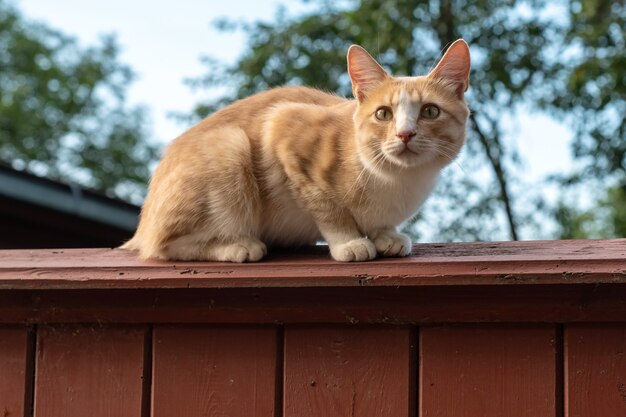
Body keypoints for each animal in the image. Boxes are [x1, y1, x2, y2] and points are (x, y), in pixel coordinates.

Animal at [122, 38, 468, 260]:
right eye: (383, 114)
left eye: (430, 112)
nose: (405, 134)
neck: (398, 182)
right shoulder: (283, 128)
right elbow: (329, 211)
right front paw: (350, 242)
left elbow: (380, 224)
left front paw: (387, 235)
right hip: (230, 150)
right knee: (161, 246)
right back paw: (237, 246)